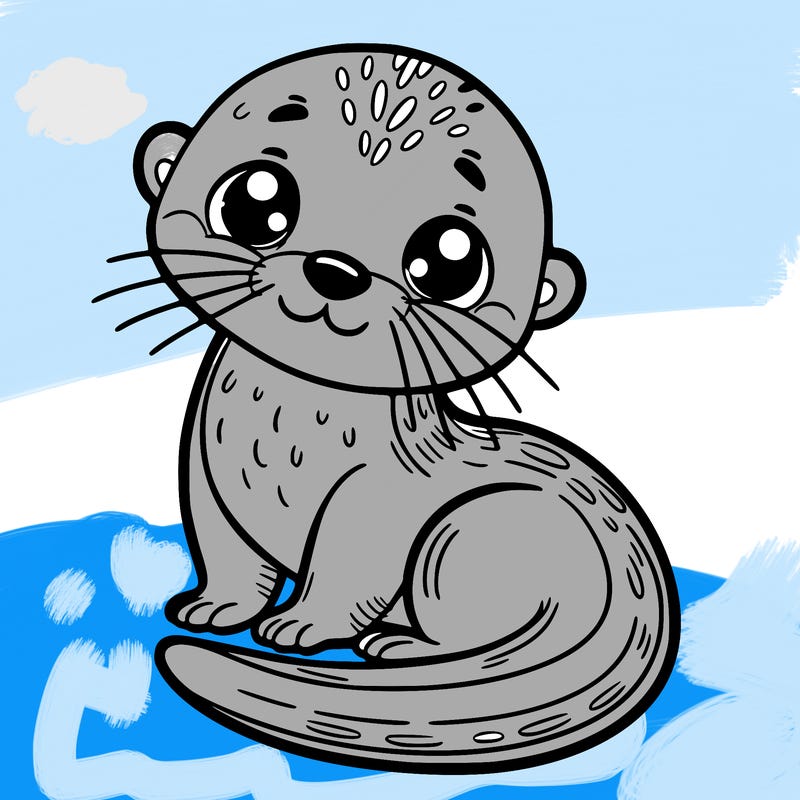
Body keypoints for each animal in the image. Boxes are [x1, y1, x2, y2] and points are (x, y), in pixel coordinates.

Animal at [109, 44, 679, 774]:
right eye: (255, 200)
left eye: (449, 261)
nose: (335, 269)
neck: (283, 434)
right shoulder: (206, 474)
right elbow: (226, 552)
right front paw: (214, 607)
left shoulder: (376, 497)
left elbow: (349, 568)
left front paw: (301, 625)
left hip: (469, 530)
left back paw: (401, 645)